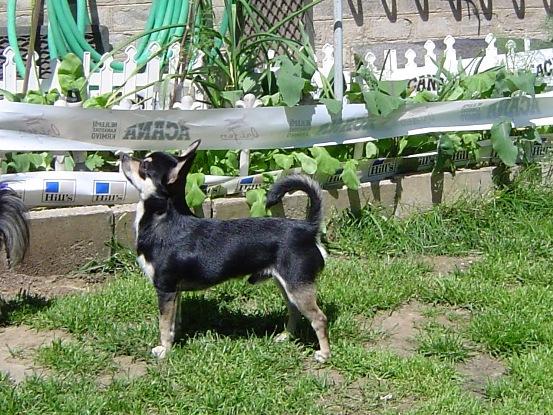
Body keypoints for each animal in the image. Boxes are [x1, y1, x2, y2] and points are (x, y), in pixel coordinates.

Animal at [120, 140, 330, 363]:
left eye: (144, 166)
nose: (123, 155)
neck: (162, 219)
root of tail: (307, 228)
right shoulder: (174, 292)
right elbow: (173, 321)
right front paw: (175, 338)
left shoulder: (165, 288)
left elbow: (163, 324)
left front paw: (164, 350)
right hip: (286, 284)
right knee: (294, 311)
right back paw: (285, 336)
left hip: (297, 285)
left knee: (319, 318)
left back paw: (324, 354)